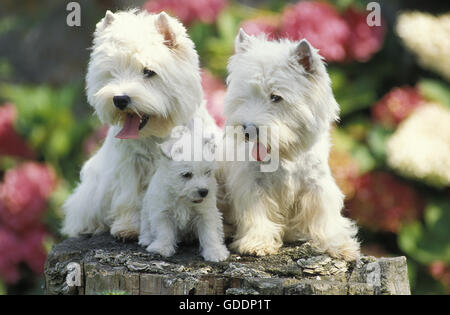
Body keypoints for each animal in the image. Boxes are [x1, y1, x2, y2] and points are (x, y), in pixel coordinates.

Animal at [61, 9, 206, 241]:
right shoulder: (130, 164)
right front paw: (128, 228)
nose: (120, 99)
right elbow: (129, 197)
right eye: (112, 72)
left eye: (148, 72)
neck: (155, 134)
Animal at [138, 128, 230, 262]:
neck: (183, 199)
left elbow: (210, 233)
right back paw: (146, 239)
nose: (204, 191)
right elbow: (163, 231)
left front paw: (215, 252)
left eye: (207, 172)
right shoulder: (162, 213)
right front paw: (161, 248)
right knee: (145, 227)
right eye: (186, 174)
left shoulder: (206, 213)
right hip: (145, 211)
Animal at [221, 29, 362, 262]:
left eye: (276, 97)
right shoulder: (252, 183)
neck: (285, 153)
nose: (248, 130)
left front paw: (339, 245)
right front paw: (257, 243)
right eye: (245, 96)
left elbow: (326, 217)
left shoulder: (317, 185)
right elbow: (257, 213)